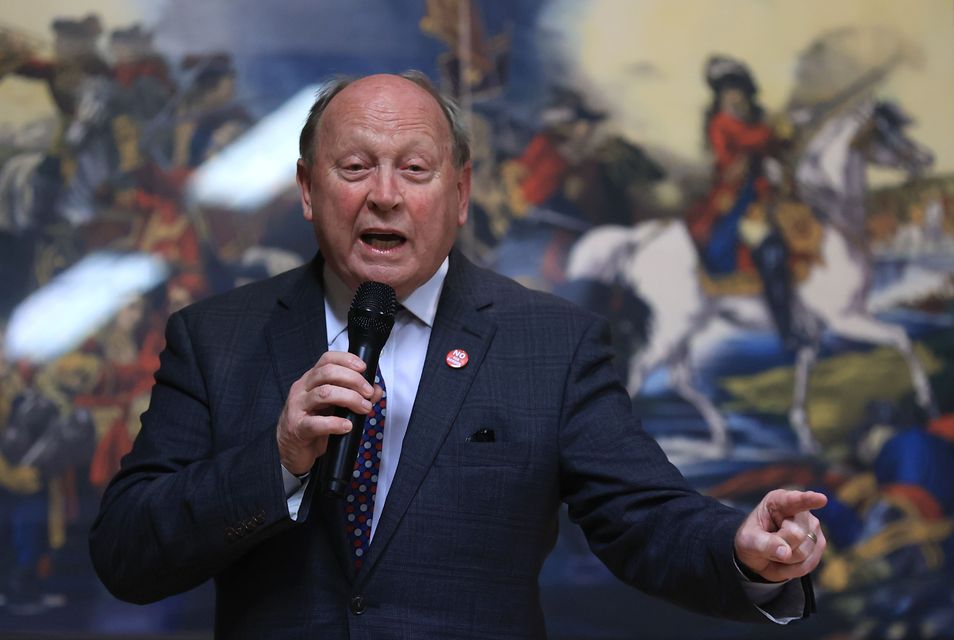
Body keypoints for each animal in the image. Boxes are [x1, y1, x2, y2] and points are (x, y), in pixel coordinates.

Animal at [568, 96, 932, 456]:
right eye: (884, 131)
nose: (925, 158)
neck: (832, 221)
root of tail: (639, 238)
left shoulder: (817, 326)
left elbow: (807, 364)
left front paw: (804, 434)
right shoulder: (845, 316)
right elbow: (902, 338)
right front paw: (926, 400)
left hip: (686, 327)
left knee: (679, 379)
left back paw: (721, 437)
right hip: (672, 328)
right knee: (637, 374)